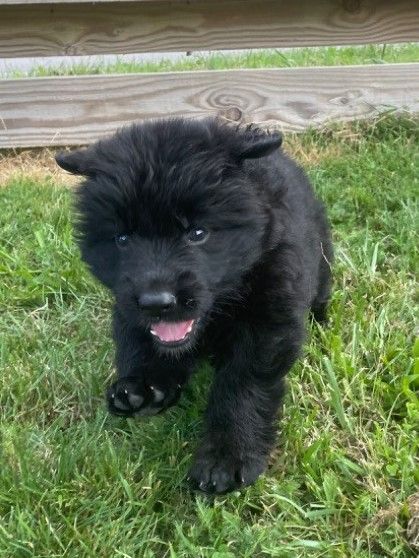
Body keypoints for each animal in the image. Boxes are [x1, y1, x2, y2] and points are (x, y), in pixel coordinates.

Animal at [55, 118, 334, 494]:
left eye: (198, 233)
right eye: (122, 239)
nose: (156, 302)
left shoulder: (269, 318)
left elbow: (243, 384)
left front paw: (227, 453)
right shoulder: (127, 305)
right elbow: (137, 339)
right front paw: (143, 385)